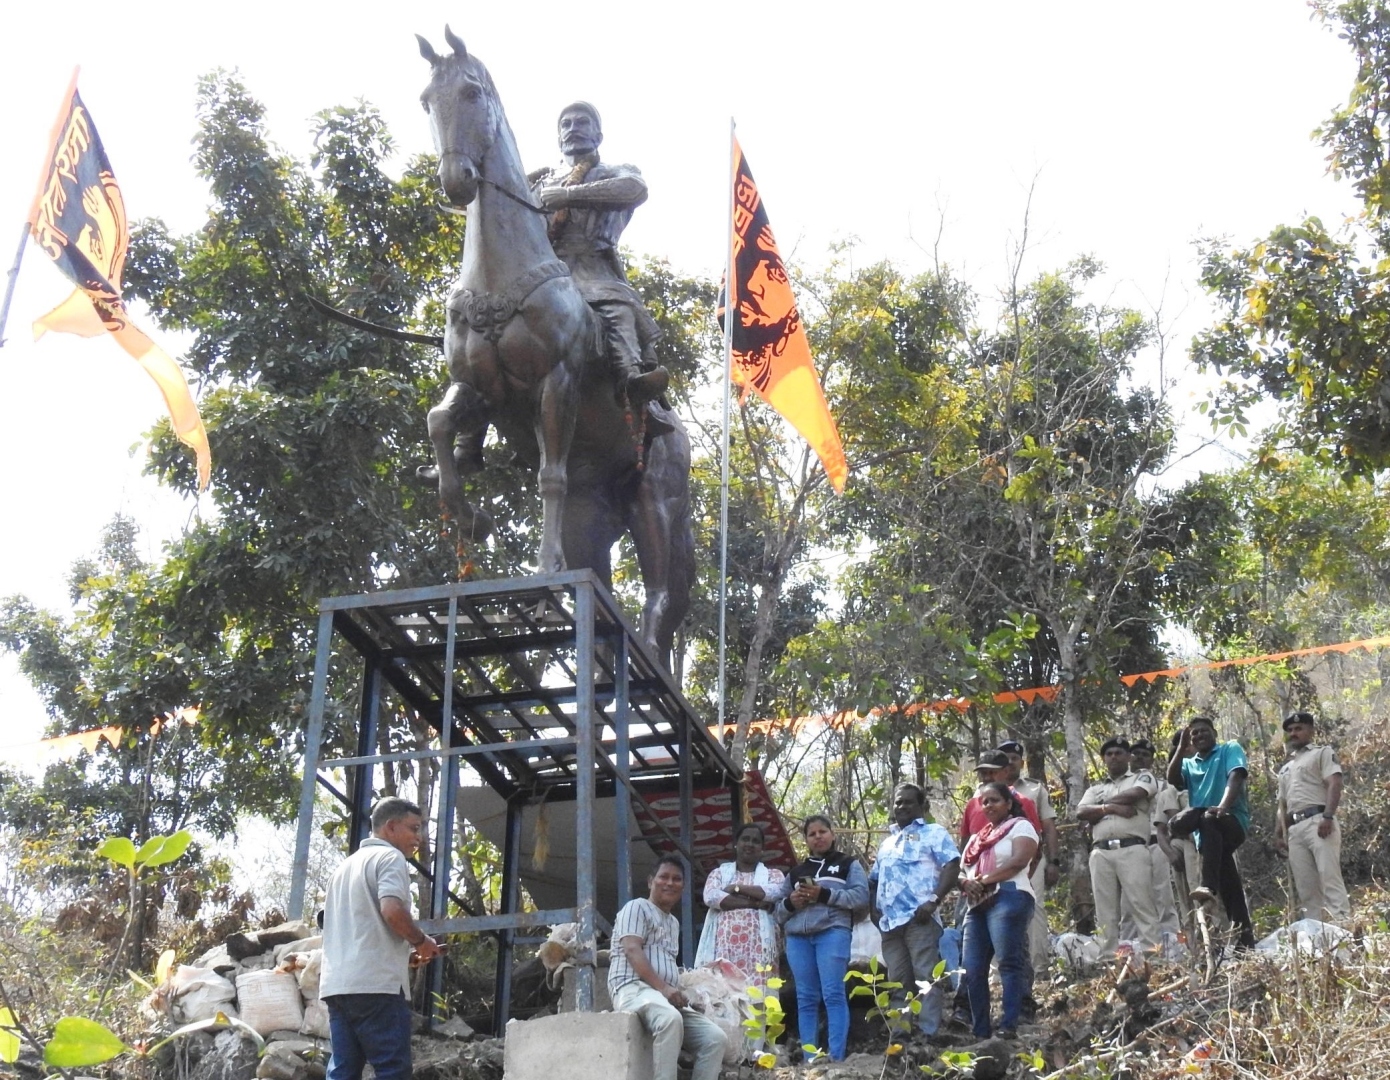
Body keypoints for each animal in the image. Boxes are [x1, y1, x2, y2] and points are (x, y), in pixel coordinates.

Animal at [411, 31, 695, 656]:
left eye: (472, 91)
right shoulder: (475, 387)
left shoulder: (556, 383)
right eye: (425, 100)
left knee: (660, 600)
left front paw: (541, 571)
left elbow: (550, 476)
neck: (497, 277)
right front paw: (471, 517)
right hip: (594, 519)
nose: (456, 180)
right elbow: (439, 424)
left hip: (655, 501)